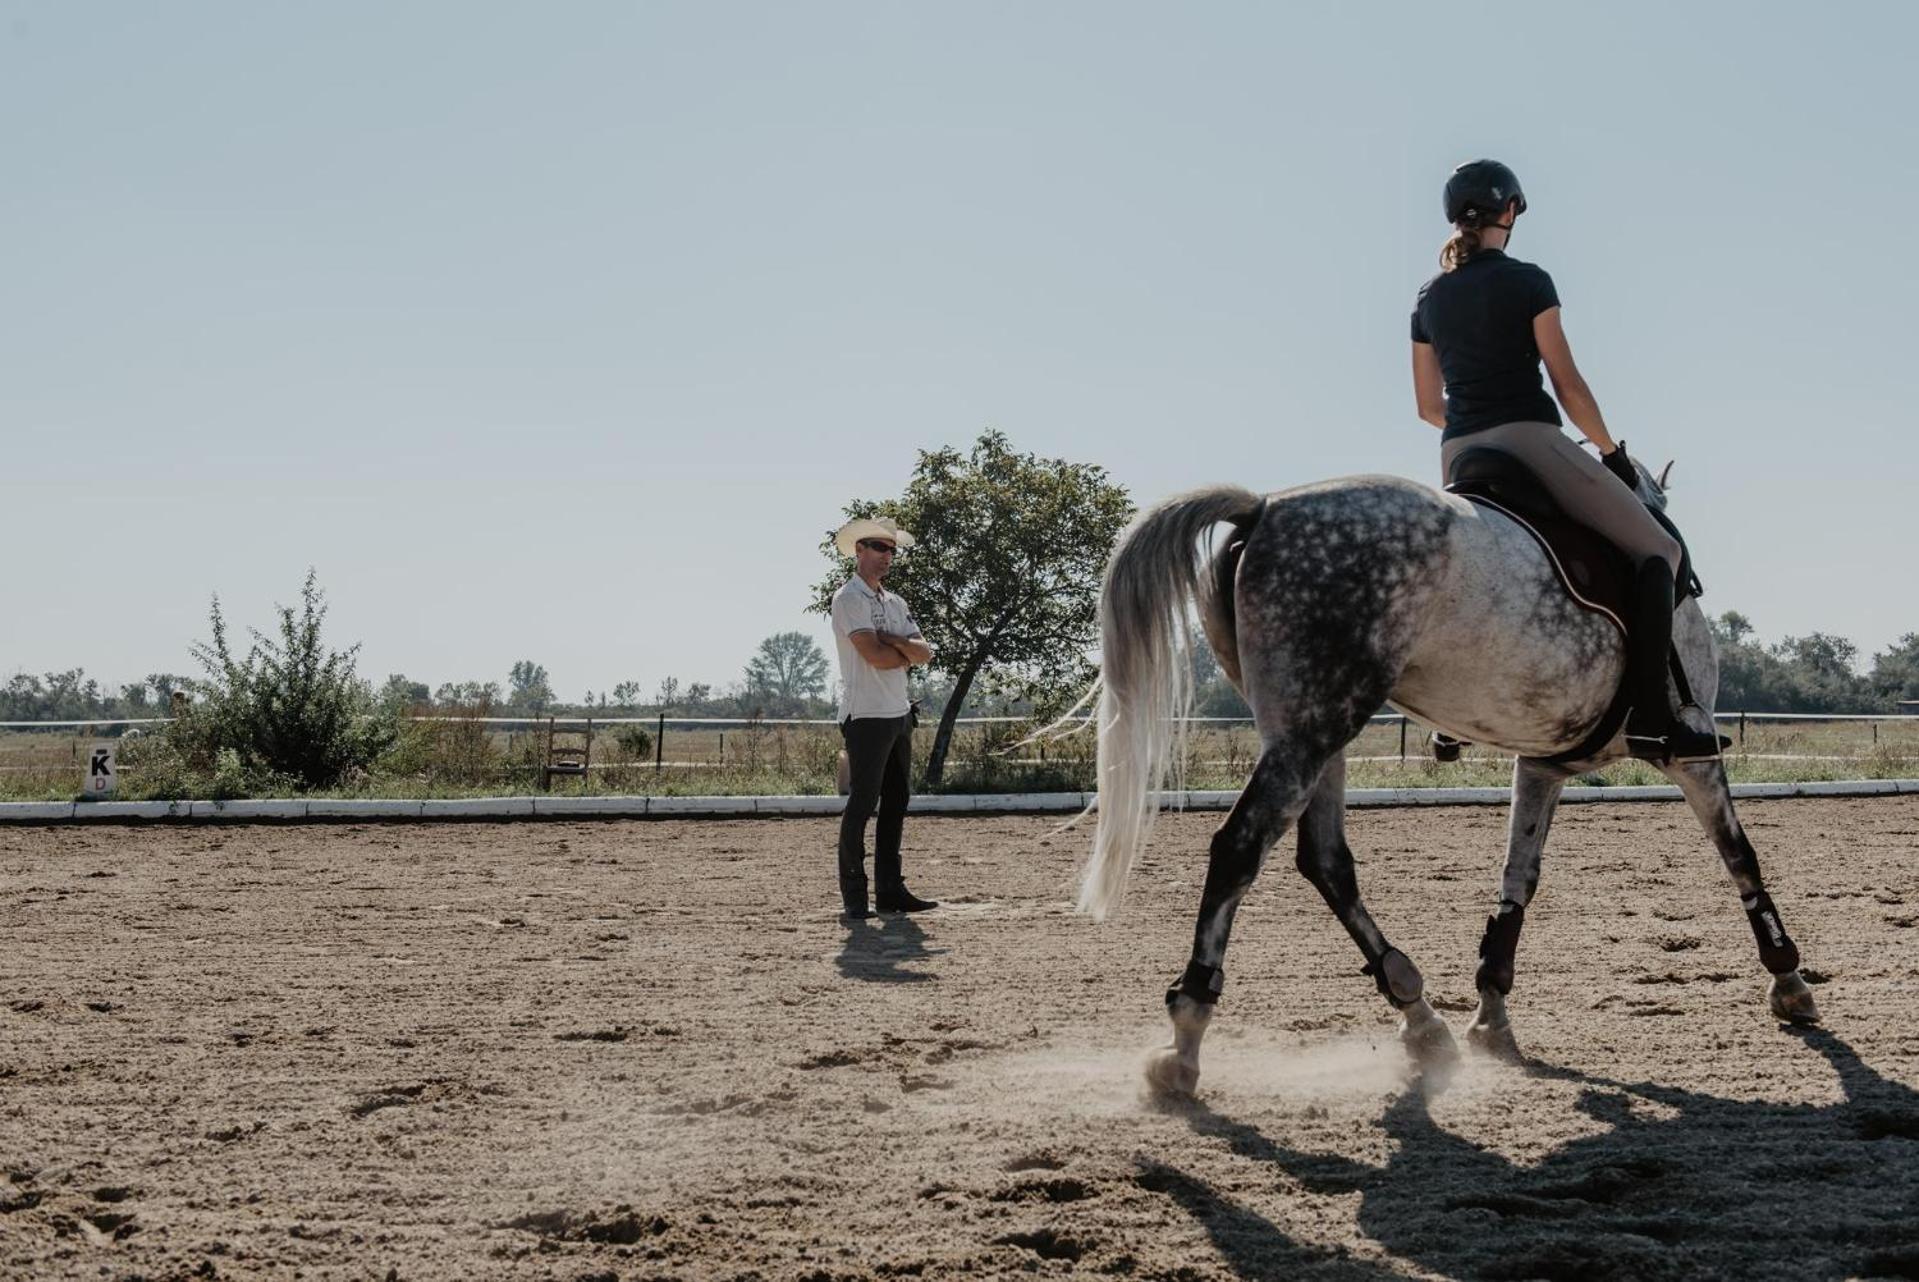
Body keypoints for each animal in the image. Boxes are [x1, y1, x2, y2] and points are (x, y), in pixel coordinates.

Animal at [1089, 466, 1819, 1097]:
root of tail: (1264, 505)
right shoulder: (1691, 752)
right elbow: (1739, 855)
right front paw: (1788, 980)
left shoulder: (1541, 763)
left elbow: (1518, 878)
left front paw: (1491, 1011)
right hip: (1311, 731)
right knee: (1239, 848)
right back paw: (1185, 1039)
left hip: (1312, 732)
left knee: (1324, 860)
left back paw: (1418, 1012)